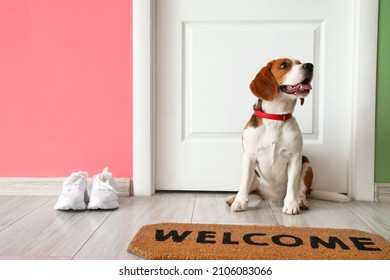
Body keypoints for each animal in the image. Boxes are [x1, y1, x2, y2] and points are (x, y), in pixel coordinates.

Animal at [227, 57, 348, 214]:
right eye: (284, 65)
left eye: (300, 63)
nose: (310, 65)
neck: (276, 117)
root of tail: (271, 197)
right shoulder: (249, 157)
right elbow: (244, 182)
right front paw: (240, 201)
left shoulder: (295, 158)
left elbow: (292, 185)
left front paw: (291, 204)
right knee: (250, 187)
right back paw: (233, 198)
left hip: (306, 164)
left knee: (301, 190)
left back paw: (301, 201)